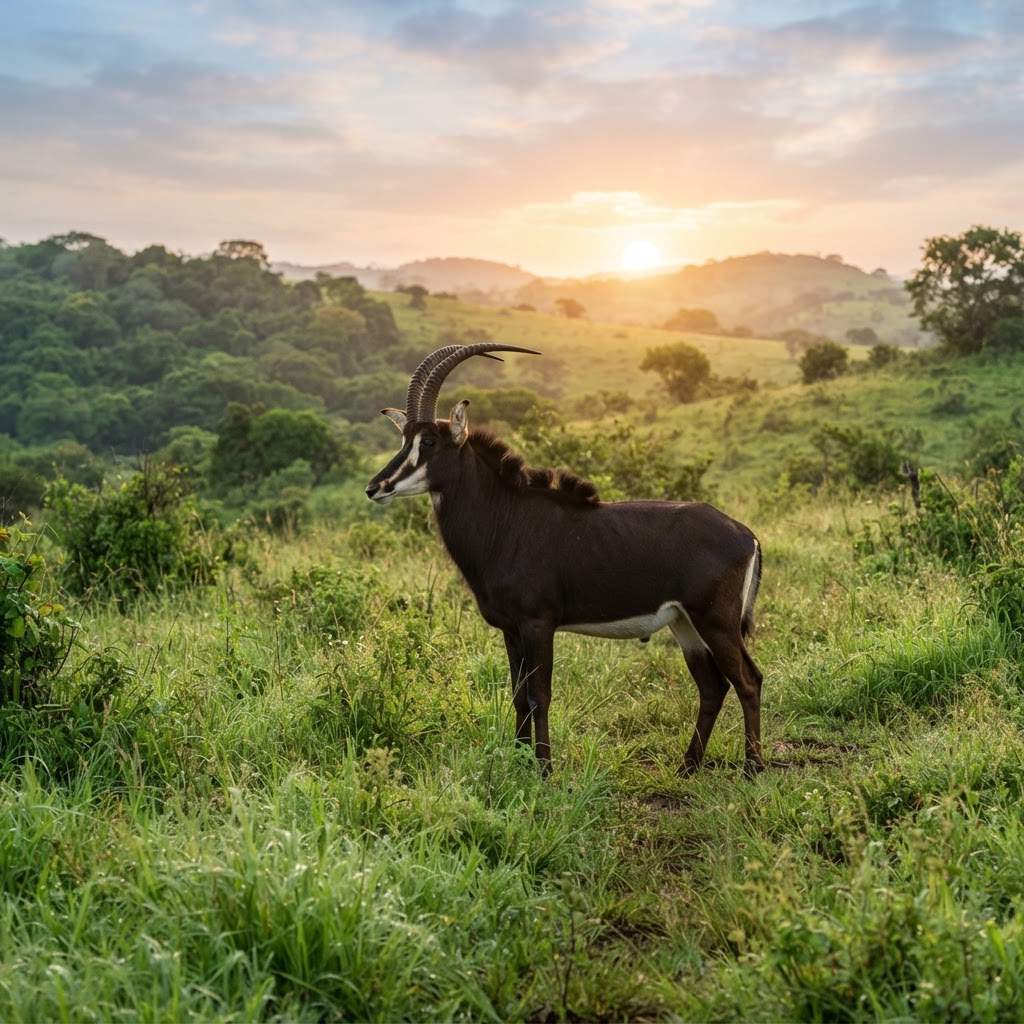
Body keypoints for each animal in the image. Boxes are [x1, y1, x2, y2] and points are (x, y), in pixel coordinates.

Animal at [365, 344, 765, 775]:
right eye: (404, 439)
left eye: (429, 443)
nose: (375, 488)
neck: (505, 518)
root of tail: (746, 534)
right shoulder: (511, 629)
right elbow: (519, 695)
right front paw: (521, 762)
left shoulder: (538, 624)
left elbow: (539, 695)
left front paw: (544, 769)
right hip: (685, 623)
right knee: (713, 686)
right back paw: (688, 766)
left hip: (716, 621)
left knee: (748, 680)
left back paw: (753, 767)